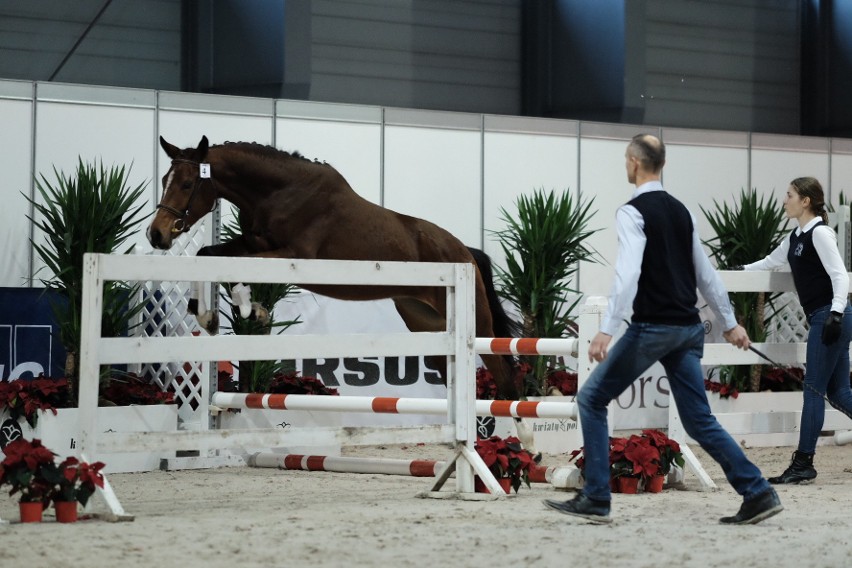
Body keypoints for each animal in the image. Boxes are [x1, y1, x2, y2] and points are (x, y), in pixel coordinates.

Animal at [145, 135, 532, 454]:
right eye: (165, 181)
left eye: (187, 183)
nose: (156, 235)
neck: (281, 192)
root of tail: (464, 250)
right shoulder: (252, 245)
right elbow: (207, 255)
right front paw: (210, 315)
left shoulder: (294, 256)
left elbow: (230, 267)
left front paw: (251, 310)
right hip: (426, 321)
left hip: (476, 323)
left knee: (503, 371)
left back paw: (525, 442)